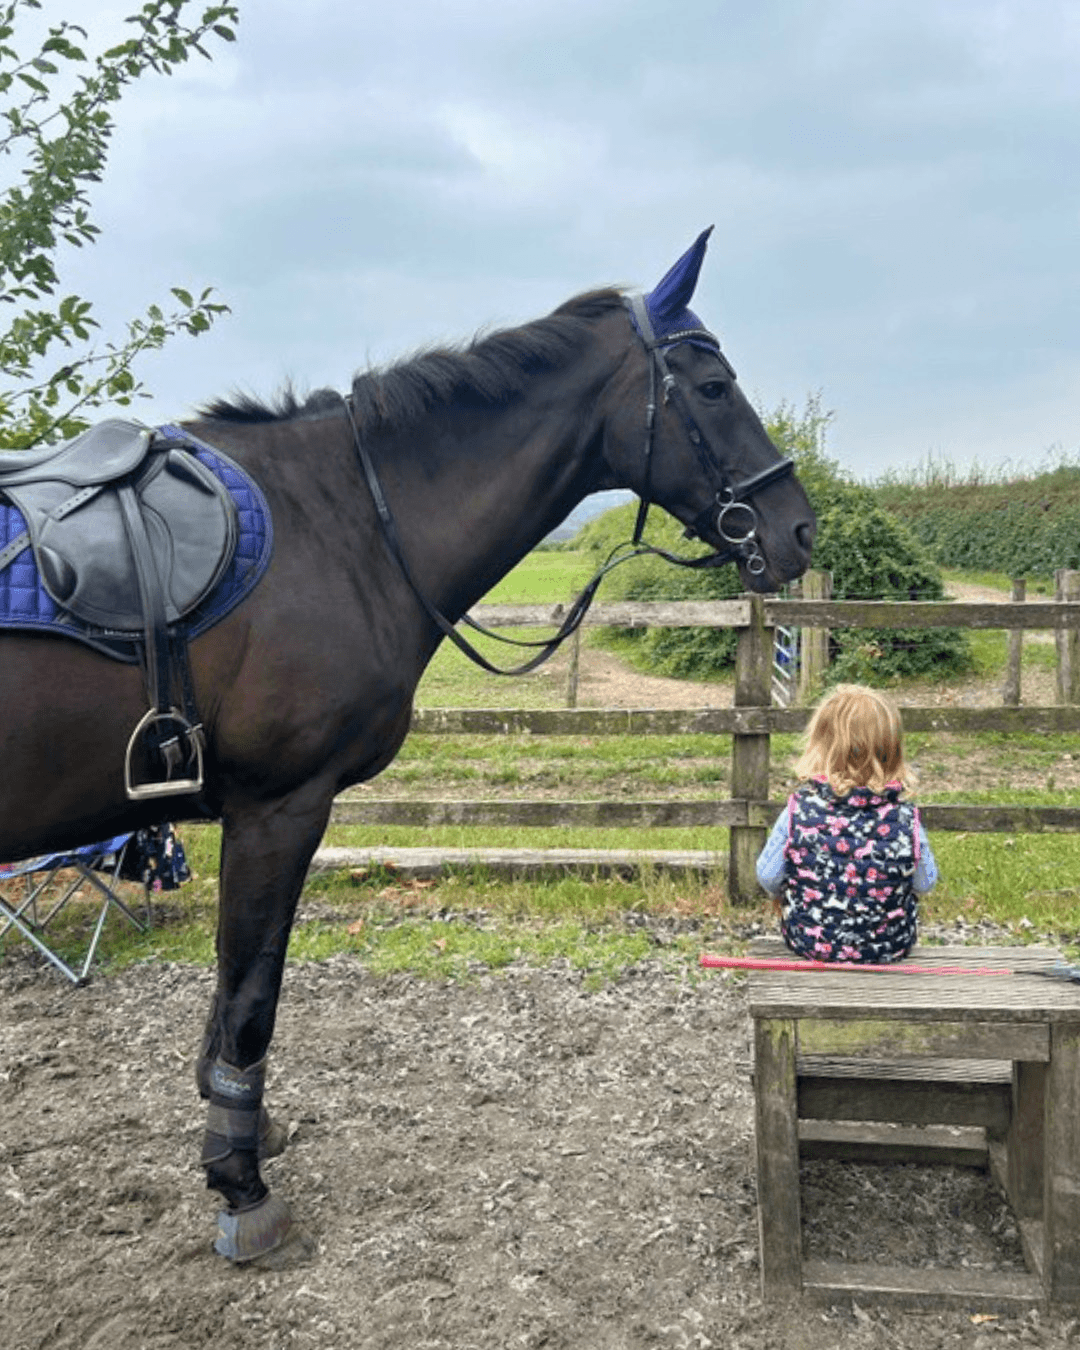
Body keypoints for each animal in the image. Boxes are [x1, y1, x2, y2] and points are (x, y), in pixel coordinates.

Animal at [0, 230, 815, 1262]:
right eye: (711, 387)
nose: (798, 528)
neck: (343, 521)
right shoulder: (279, 810)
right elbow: (252, 994)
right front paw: (239, 1183)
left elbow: (230, 986)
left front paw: (237, 1127)